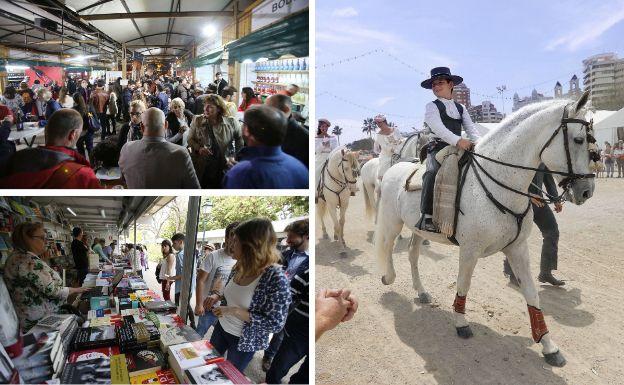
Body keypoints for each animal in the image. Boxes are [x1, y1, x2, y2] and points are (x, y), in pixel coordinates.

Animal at [372, 91, 596, 366]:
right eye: (579, 139)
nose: (586, 191)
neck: (498, 181)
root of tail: (397, 166)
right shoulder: (469, 250)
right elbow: (463, 285)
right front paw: (461, 323)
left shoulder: (518, 249)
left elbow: (532, 295)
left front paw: (549, 346)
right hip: (393, 222)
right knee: (388, 246)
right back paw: (388, 276)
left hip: (417, 230)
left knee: (413, 255)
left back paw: (422, 292)